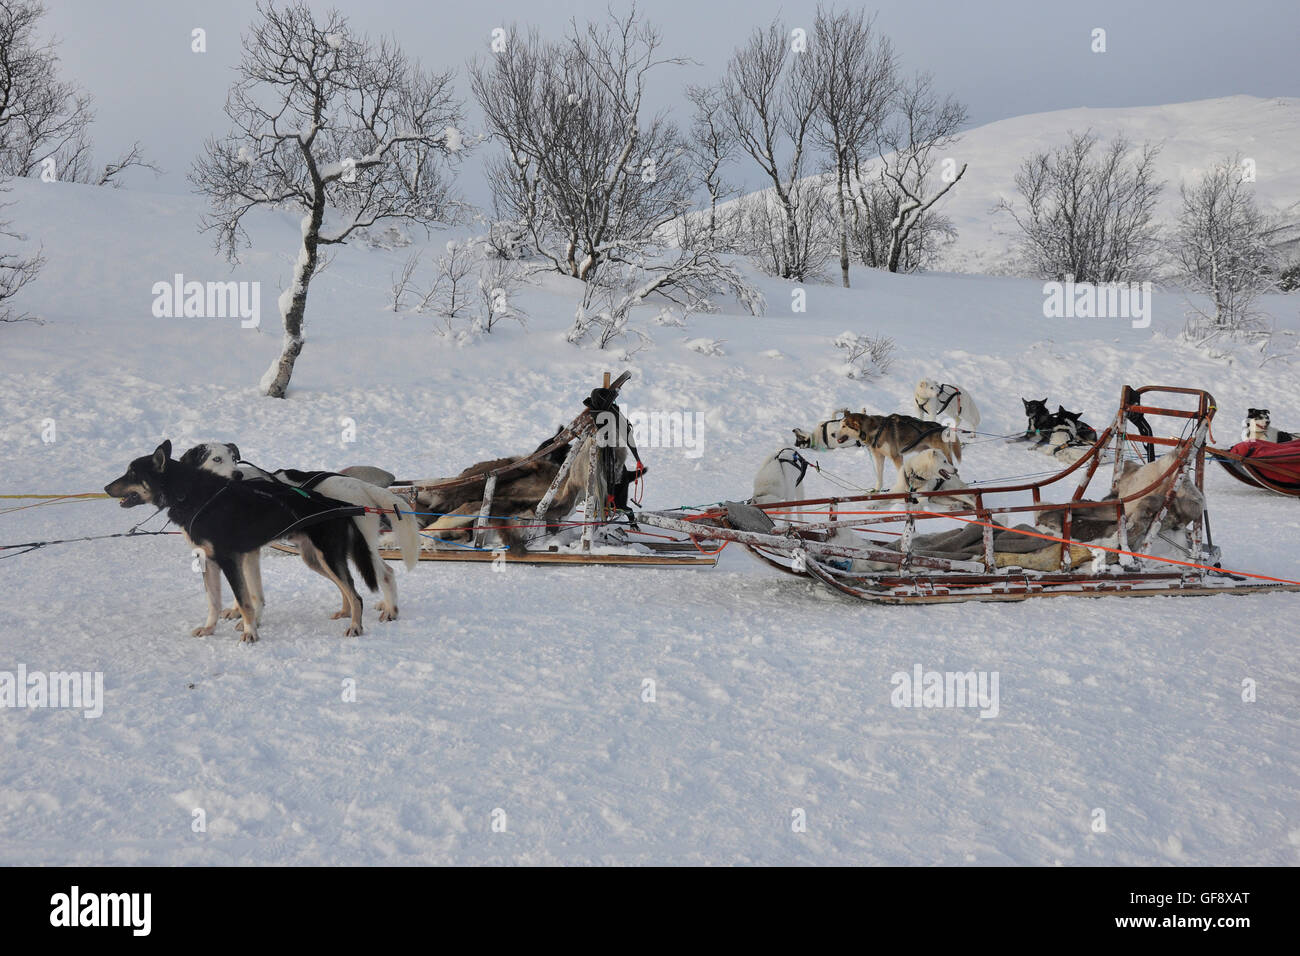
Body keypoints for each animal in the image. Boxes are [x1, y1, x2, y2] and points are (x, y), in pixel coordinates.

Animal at [179, 444, 416, 632]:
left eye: (234, 459)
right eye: (216, 458)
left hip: (354, 549)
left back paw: (390, 611)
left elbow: (250, 593)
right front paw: (238, 612)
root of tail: (361, 485)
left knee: (386, 573)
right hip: (323, 555)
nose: (237, 474)